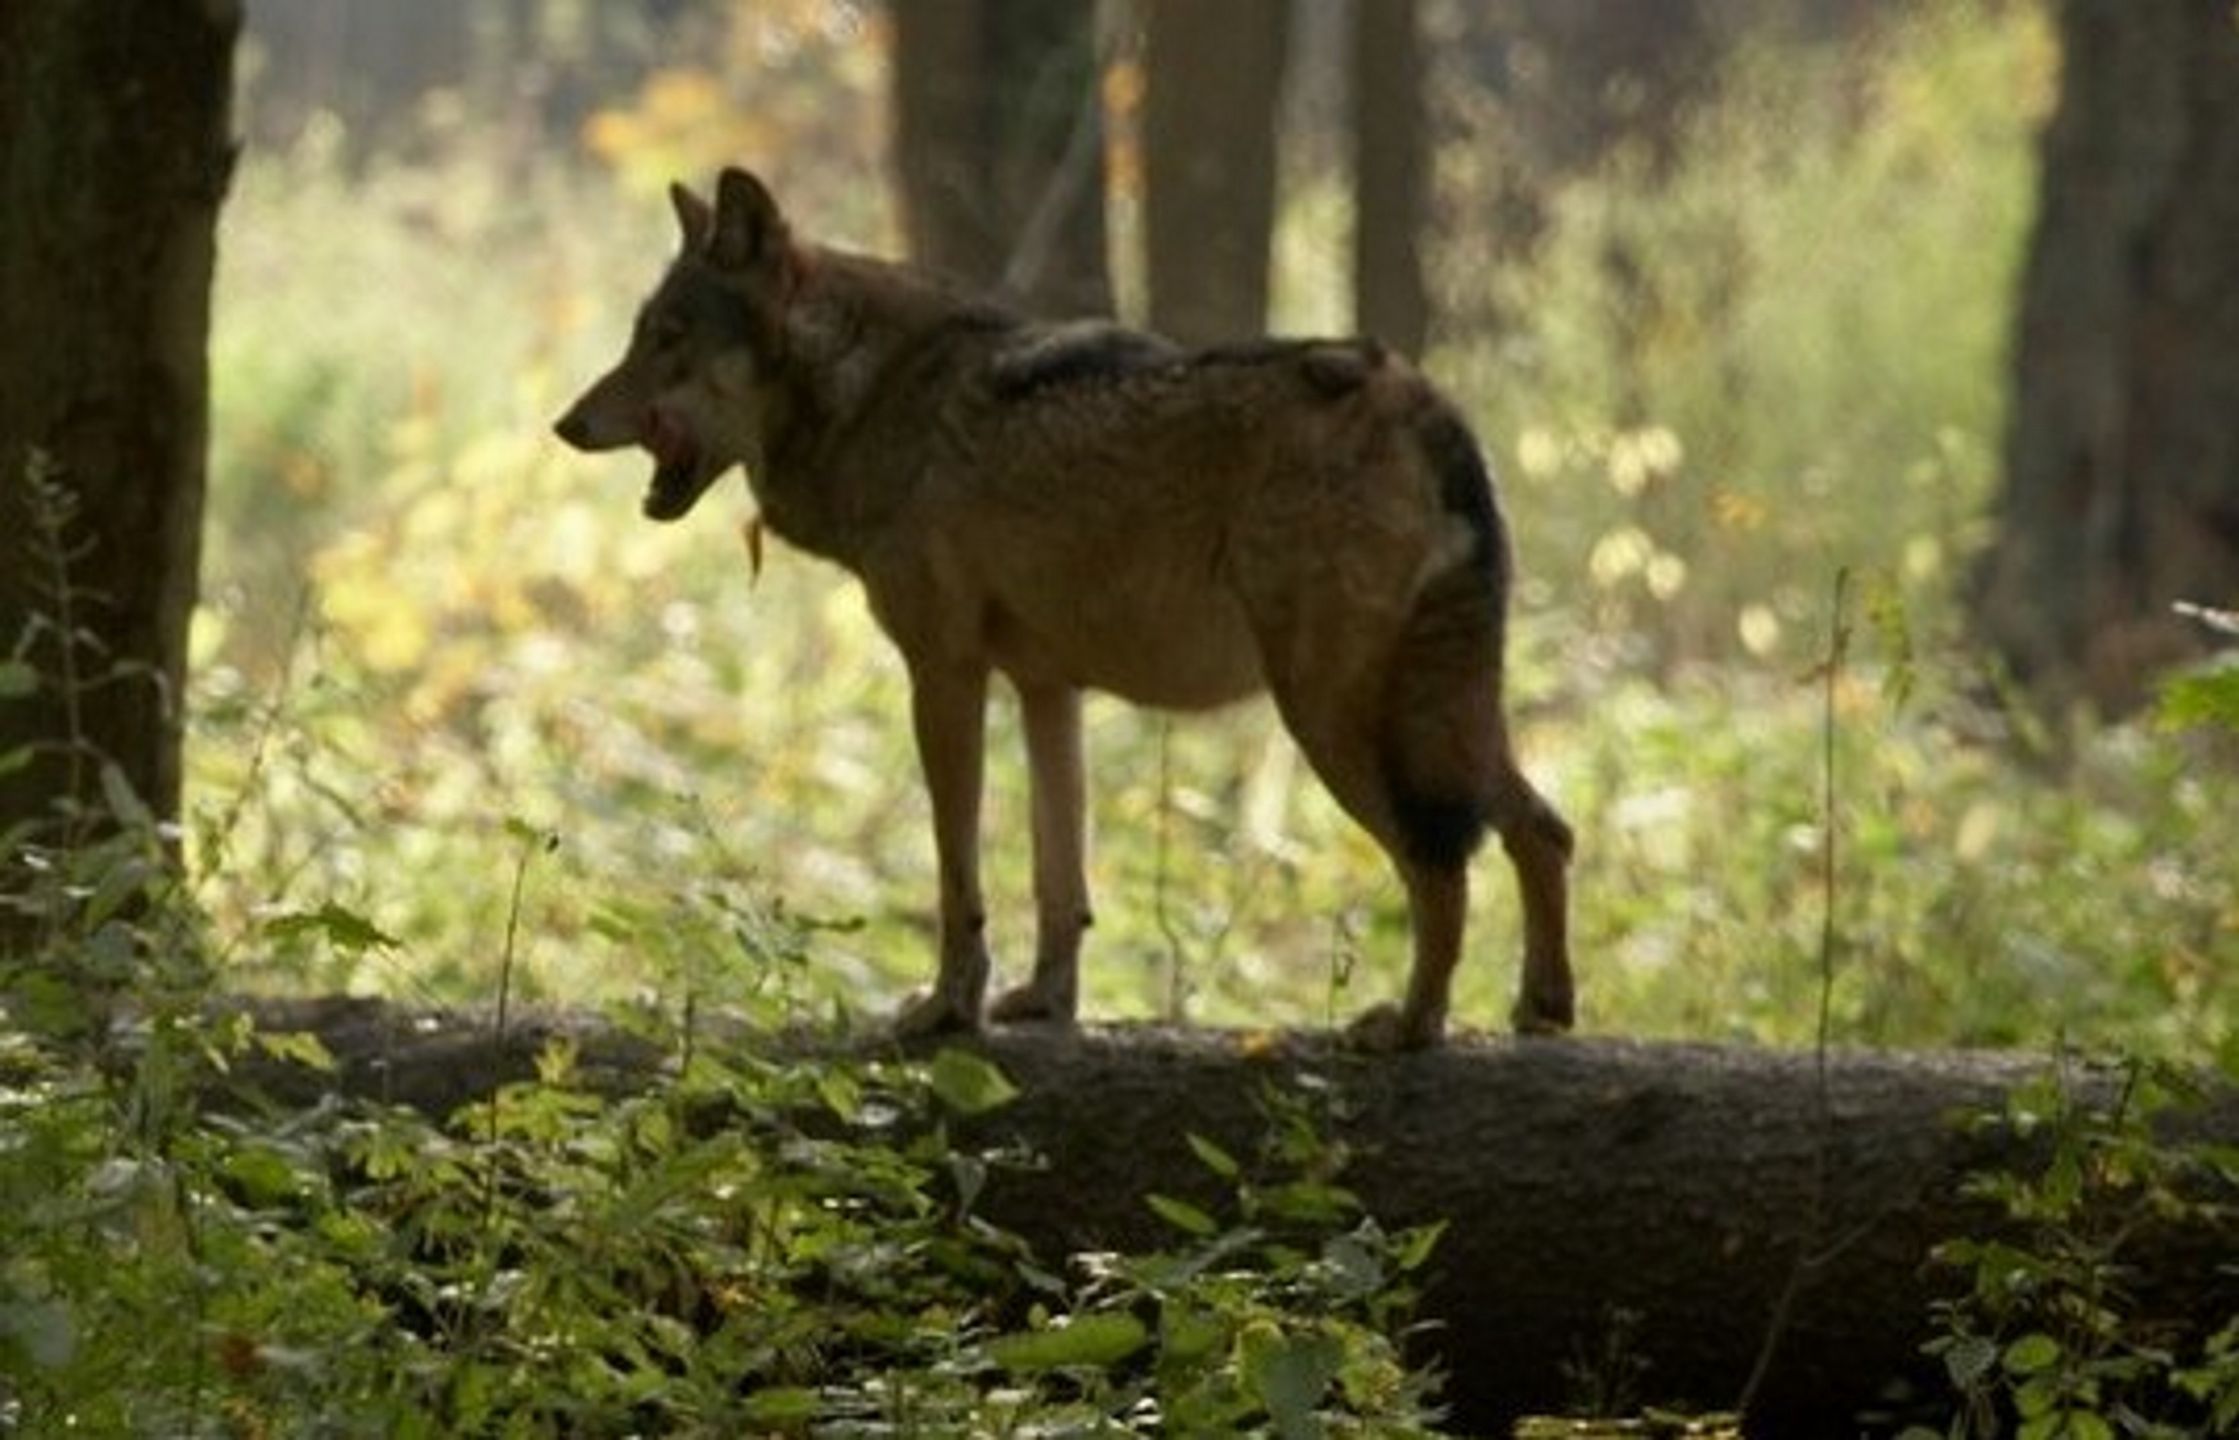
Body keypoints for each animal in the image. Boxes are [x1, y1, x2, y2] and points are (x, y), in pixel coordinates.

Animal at [555, 165, 1576, 1048]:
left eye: (669, 338)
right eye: (642, 334)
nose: (566, 424)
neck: (873, 393)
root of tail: (1422, 400)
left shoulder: (944, 675)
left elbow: (957, 872)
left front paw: (946, 1009)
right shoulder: (1047, 689)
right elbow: (1059, 879)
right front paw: (1044, 1003)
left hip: (1332, 718)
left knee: (1439, 865)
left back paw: (1410, 1027)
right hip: (1431, 710)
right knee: (1542, 830)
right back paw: (1541, 1010)